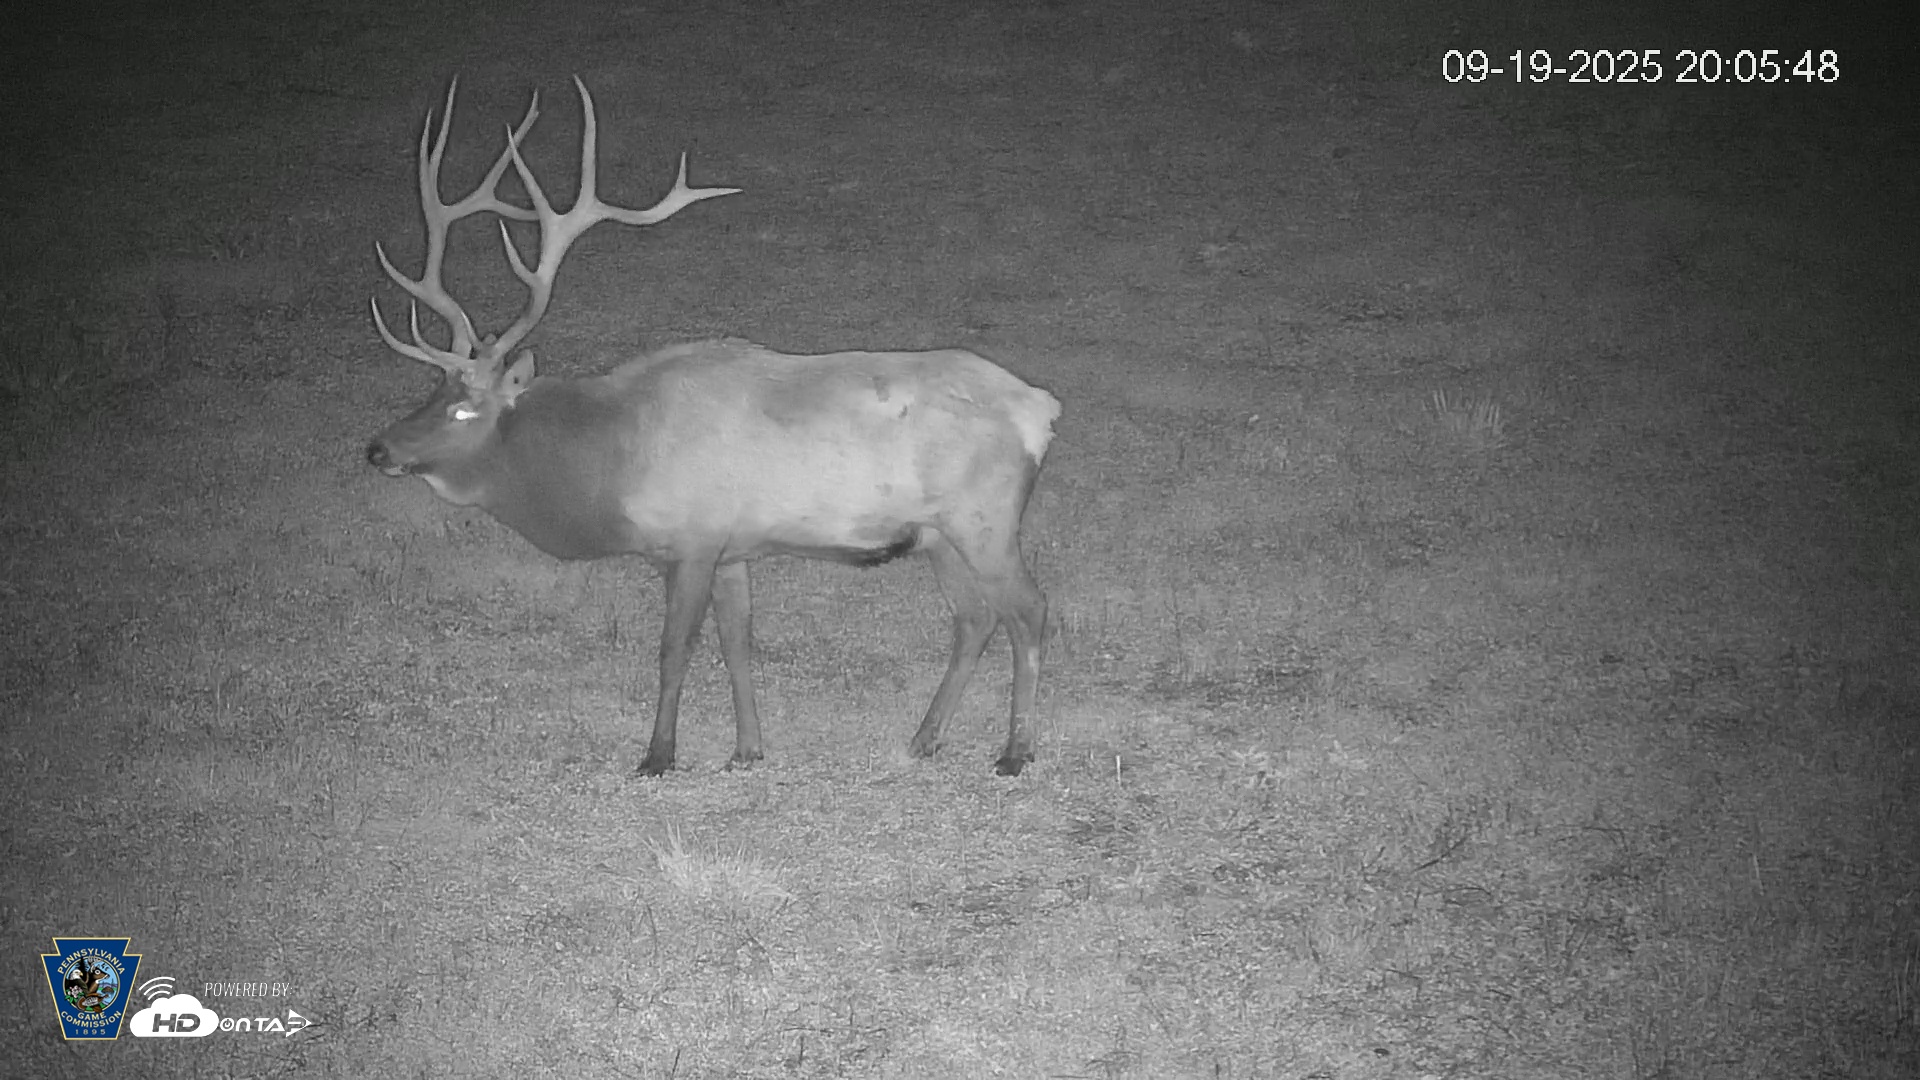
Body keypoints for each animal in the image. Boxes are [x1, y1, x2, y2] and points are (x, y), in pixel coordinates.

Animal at [365, 78, 1060, 776]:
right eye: (432, 391)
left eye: (463, 409)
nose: (378, 448)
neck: (611, 461)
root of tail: (1041, 409)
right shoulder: (733, 548)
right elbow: (736, 645)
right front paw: (748, 749)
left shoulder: (694, 539)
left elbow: (674, 650)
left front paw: (658, 756)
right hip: (935, 534)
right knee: (974, 618)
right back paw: (924, 738)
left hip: (984, 519)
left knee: (1029, 610)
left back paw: (1016, 749)